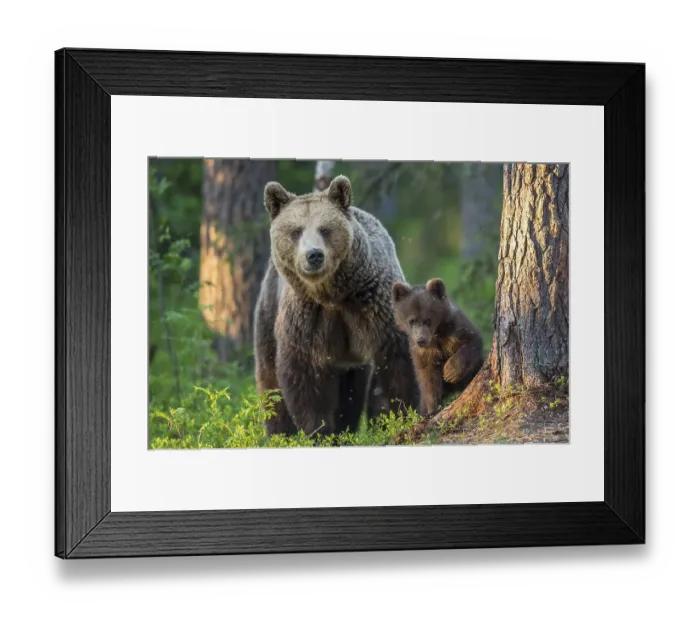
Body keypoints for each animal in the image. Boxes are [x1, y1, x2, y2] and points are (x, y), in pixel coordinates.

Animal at [254, 175, 419, 437]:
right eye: (296, 231)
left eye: (325, 229)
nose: (314, 255)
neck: (333, 294)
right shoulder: (306, 319)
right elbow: (304, 378)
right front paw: (317, 431)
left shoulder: (374, 306)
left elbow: (397, 363)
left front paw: (399, 416)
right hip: (268, 311)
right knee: (269, 381)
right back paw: (279, 433)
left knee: (350, 394)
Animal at [391, 278, 484, 417]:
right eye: (411, 321)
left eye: (427, 320)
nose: (421, 340)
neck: (437, 334)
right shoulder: (423, 352)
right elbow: (429, 379)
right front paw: (432, 410)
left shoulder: (456, 330)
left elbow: (473, 341)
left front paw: (450, 371)